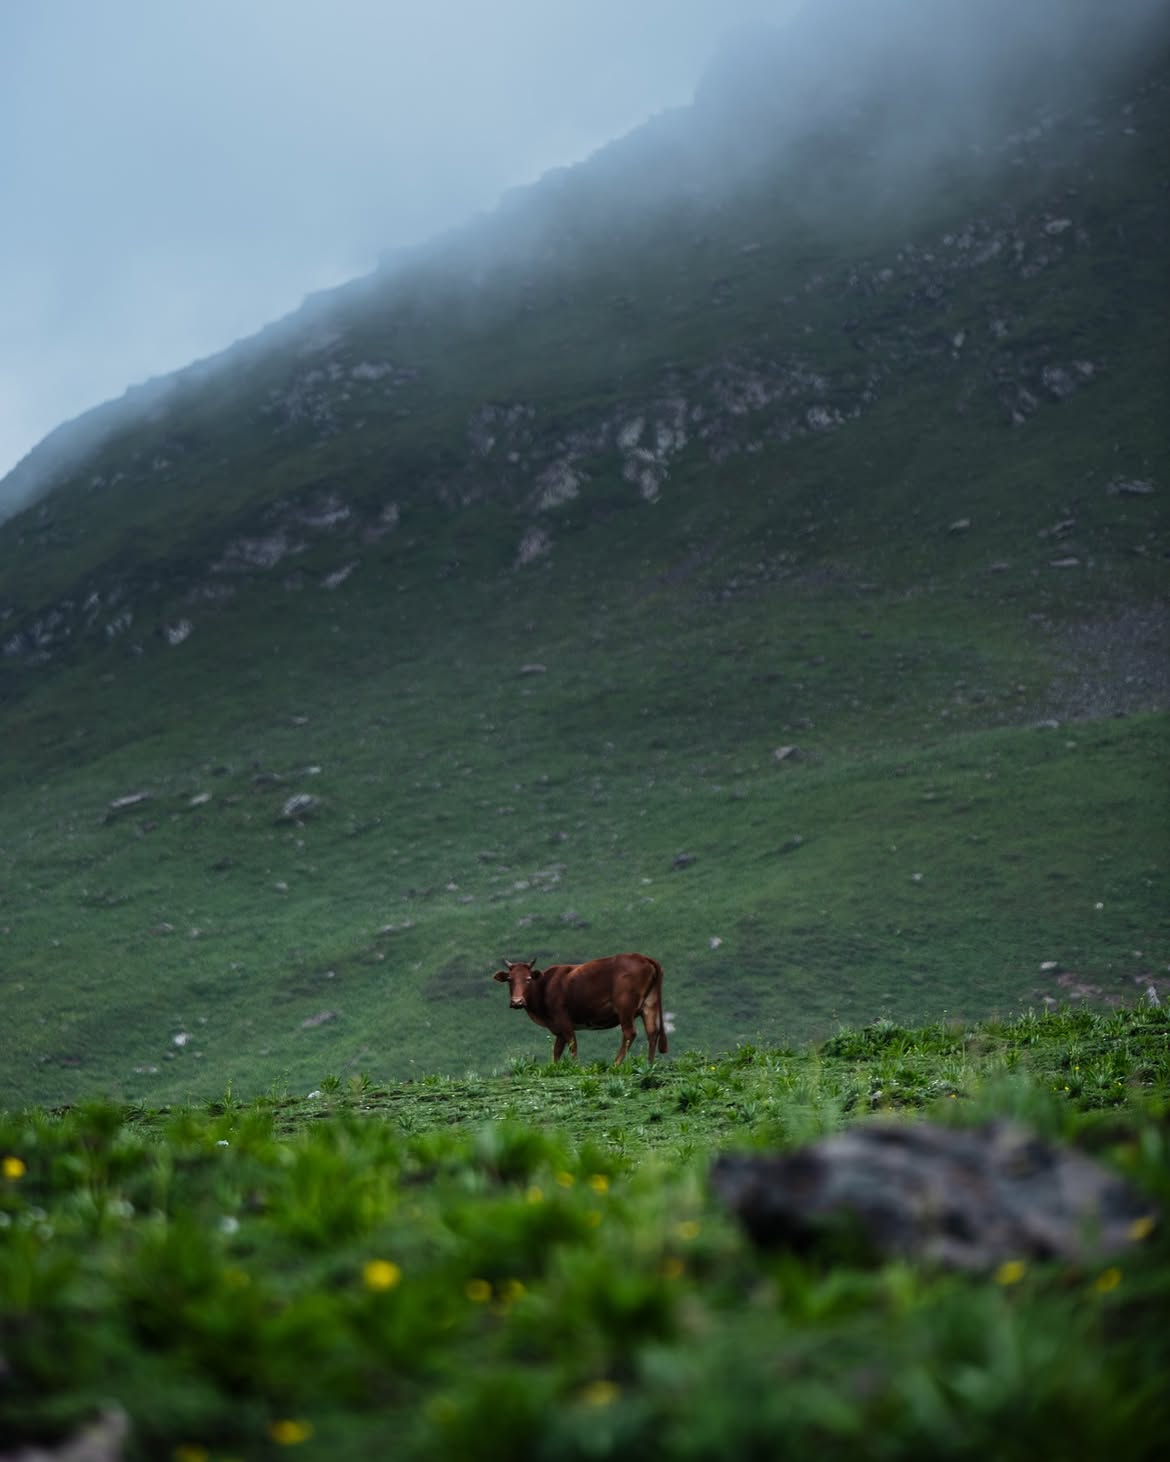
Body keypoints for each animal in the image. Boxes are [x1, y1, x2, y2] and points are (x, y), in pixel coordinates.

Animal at [492, 953, 668, 1065]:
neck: (545, 986)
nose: (517, 1001)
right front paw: (555, 1068)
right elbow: (556, 1051)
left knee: (630, 1033)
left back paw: (616, 1064)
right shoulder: (558, 1028)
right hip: (649, 1005)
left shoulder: (564, 1020)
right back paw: (649, 1064)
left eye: (528, 979)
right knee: (652, 1032)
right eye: (509, 979)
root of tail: (643, 957)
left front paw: (575, 1066)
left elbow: (572, 1044)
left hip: (625, 1007)